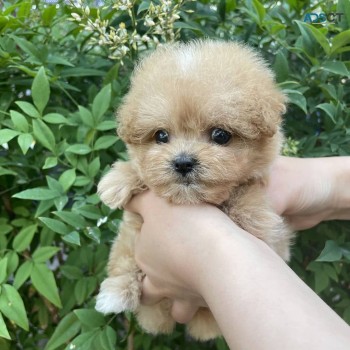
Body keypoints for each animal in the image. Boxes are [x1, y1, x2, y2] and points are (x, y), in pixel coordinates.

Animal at [95, 39, 292, 340]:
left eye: (220, 135)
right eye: (161, 135)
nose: (183, 162)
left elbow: (248, 192)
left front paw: (251, 214)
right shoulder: (132, 227)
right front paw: (118, 181)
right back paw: (116, 293)